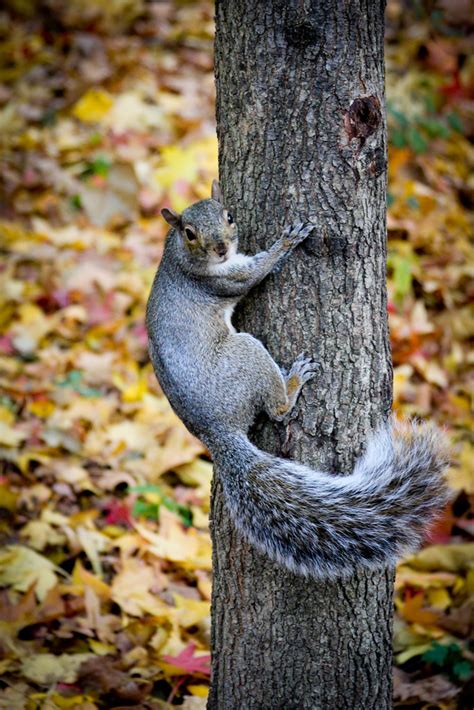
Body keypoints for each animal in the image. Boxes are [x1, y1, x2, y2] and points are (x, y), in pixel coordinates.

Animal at [146, 181, 450, 580]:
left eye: (229, 216)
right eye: (189, 233)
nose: (222, 248)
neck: (180, 256)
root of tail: (216, 429)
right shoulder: (223, 280)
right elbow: (256, 271)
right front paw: (287, 241)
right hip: (246, 354)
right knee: (276, 410)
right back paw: (293, 382)